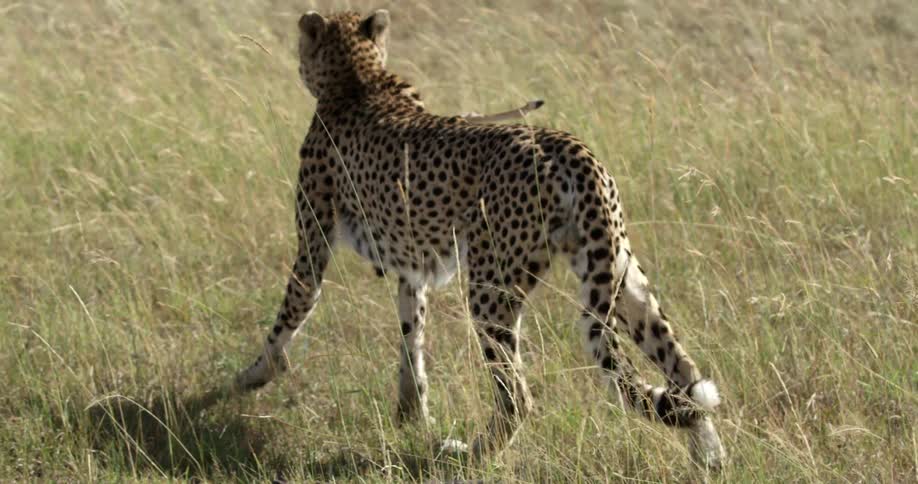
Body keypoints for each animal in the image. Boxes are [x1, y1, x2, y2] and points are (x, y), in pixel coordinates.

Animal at [235, 9, 727, 469]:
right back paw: (710, 454)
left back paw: (469, 453)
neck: (359, 79)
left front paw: (249, 377)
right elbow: (411, 334)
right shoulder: (413, 265)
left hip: (492, 290)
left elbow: (291, 310)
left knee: (517, 397)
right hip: (618, 274)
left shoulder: (313, 244)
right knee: (685, 372)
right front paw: (410, 412)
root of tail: (568, 146)